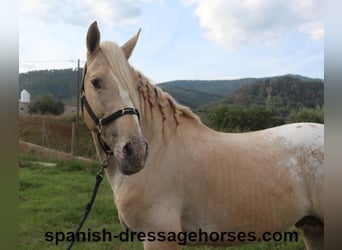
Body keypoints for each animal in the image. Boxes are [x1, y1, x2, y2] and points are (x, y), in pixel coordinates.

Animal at [81, 22, 324, 250]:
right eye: (95, 82)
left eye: (130, 87)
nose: (136, 151)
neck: (160, 150)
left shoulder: (160, 236)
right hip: (313, 228)